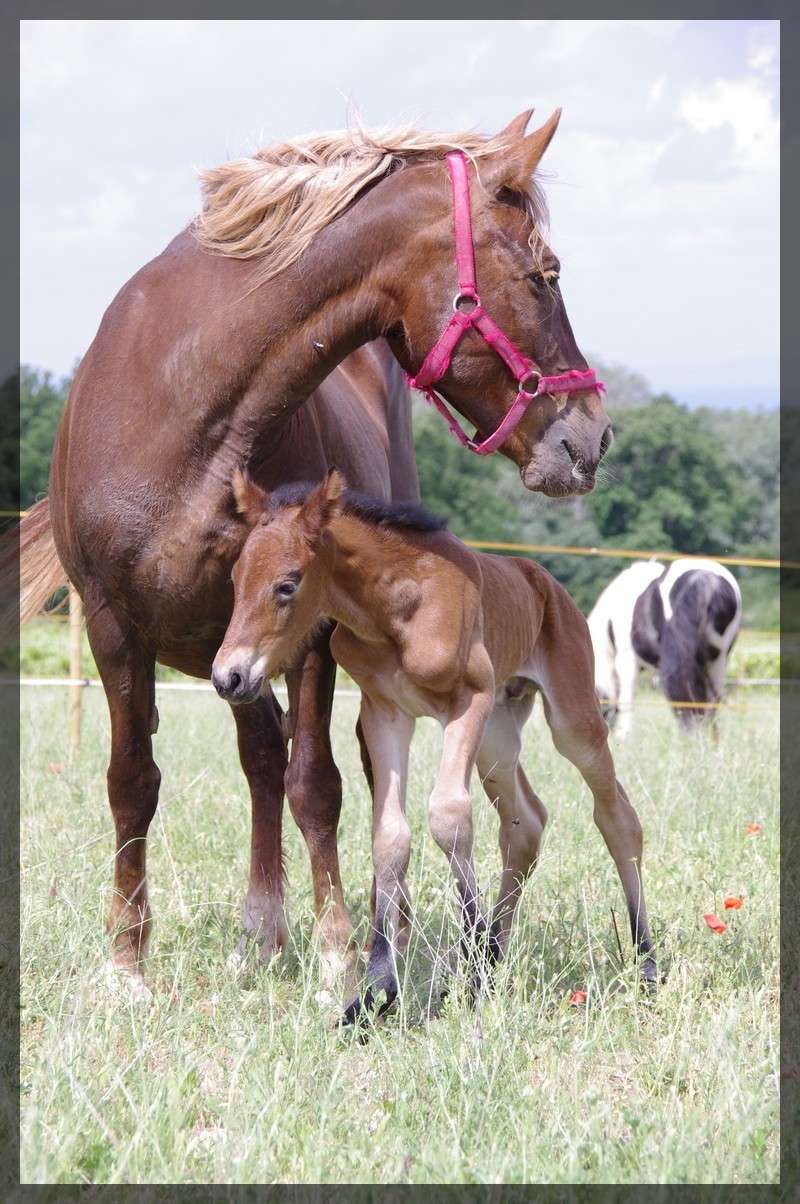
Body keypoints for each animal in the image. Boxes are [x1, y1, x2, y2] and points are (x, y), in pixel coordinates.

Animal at [14, 110, 612, 987]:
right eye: (546, 275)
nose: (592, 437)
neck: (184, 403)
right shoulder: (116, 627)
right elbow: (132, 781)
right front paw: (126, 961)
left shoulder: (313, 633)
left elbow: (317, 784)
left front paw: (338, 953)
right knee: (259, 759)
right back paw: (262, 932)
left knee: (327, 770)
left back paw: (364, 930)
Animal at [214, 469, 655, 1016]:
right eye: (235, 580)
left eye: (287, 585)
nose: (227, 677)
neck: (395, 611)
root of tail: (545, 580)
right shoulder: (385, 713)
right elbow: (389, 837)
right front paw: (378, 986)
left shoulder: (468, 701)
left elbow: (448, 817)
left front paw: (467, 975)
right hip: (497, 737)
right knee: (526, 824)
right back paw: (493, 956)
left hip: (572, 721)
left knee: (618, 819)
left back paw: (646, 963)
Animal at [587, 558, 742, 736]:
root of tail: (706, 580)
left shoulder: (627, 660)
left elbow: (626, 701)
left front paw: (624, 737)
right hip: (718, 660)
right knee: (710, 702)